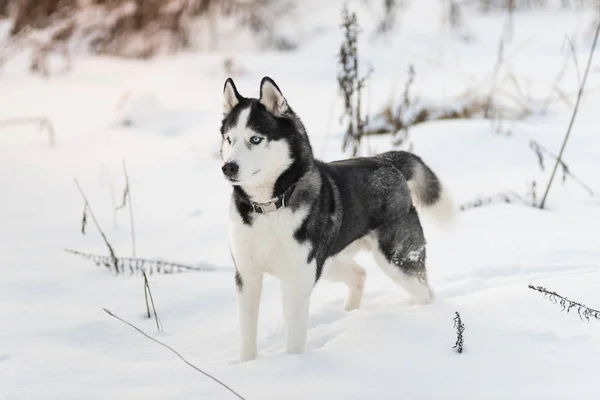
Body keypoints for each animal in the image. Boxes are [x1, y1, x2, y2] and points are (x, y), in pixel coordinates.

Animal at [220, 76, 454, 362]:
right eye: (229, 139)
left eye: (255, 139)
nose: (228, 167)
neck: (270, 207)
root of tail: (386, 161)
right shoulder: (247, 276)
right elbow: (247, 337)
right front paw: (248, 365)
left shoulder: (297, 281)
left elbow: (294, 341)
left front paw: (293, 365)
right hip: (329, 261)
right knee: (360, 274)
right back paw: (350, 313)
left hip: (395, 260)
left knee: (423, 290)